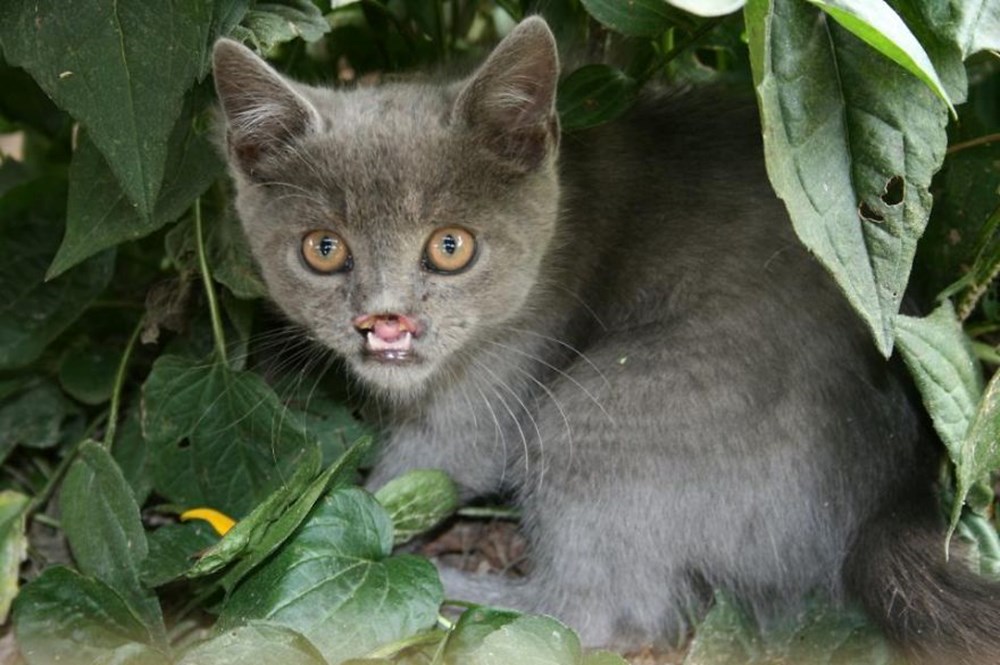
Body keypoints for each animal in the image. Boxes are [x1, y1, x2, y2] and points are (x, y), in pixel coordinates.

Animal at [213, 18, 1000, 660]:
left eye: (450, 247)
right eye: (323, 249)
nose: (385, 321)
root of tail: (893, 498)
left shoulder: (501, 382)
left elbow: (415, 474)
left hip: (602, 405)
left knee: (597, 615)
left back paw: (455, 593)